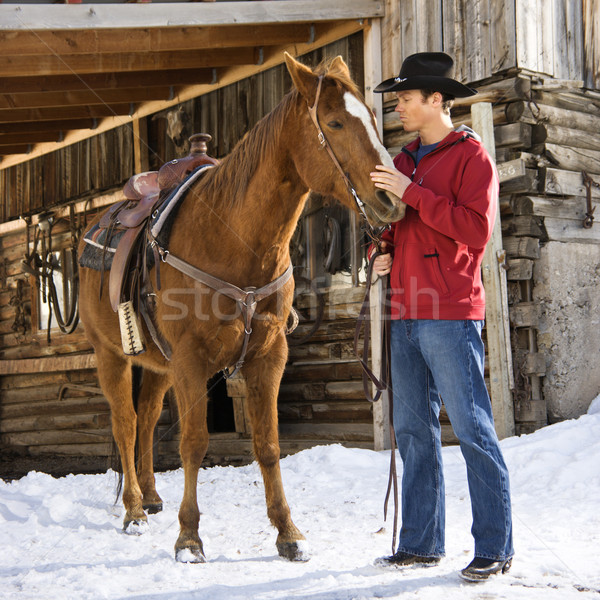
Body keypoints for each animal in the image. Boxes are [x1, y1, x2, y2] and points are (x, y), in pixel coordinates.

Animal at [76, 51, 404, 564]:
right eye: (333, 122)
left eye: (371, 117)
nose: (391, 198)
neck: (233, 237)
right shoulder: (191, 361)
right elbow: (193, 444)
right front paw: (189, 538)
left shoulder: (267, 357)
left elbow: (267, 445)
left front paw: (288, 533)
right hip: (111, 354)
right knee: (126, 423)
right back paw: (132, 509)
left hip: (159, 363)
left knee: (146, 417)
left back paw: (150, 496)